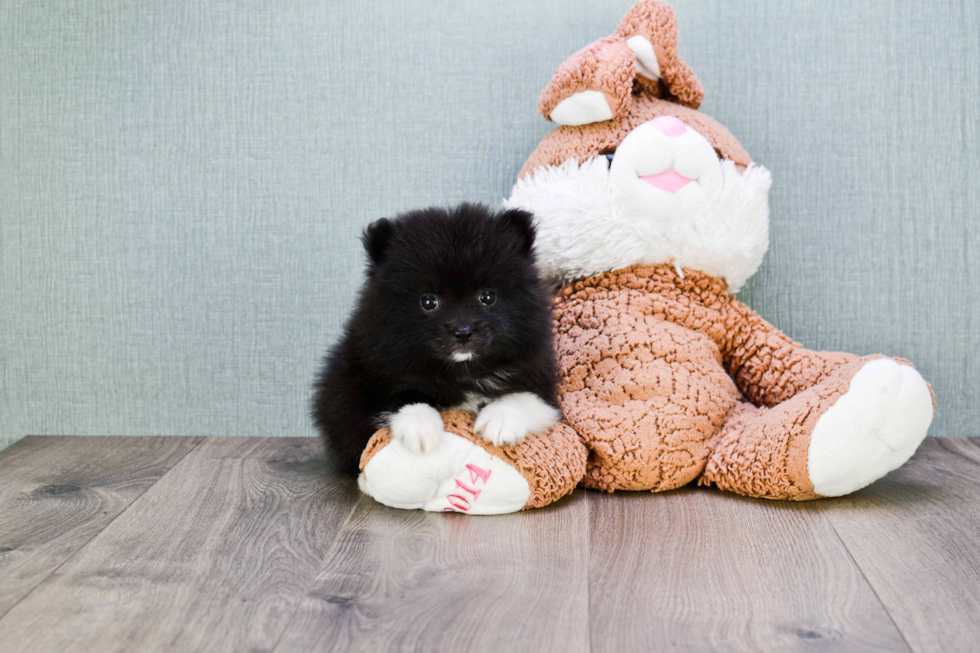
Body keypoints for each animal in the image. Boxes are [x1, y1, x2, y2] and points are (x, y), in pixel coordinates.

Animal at [310, 201, 564, 472]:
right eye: (429, 302)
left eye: (487, 297)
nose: (462, 332)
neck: (461, 371)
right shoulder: (359, 384)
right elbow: (401, 396)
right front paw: (420, 425)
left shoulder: (541, 379)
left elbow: (525, 397)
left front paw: (500, 420)